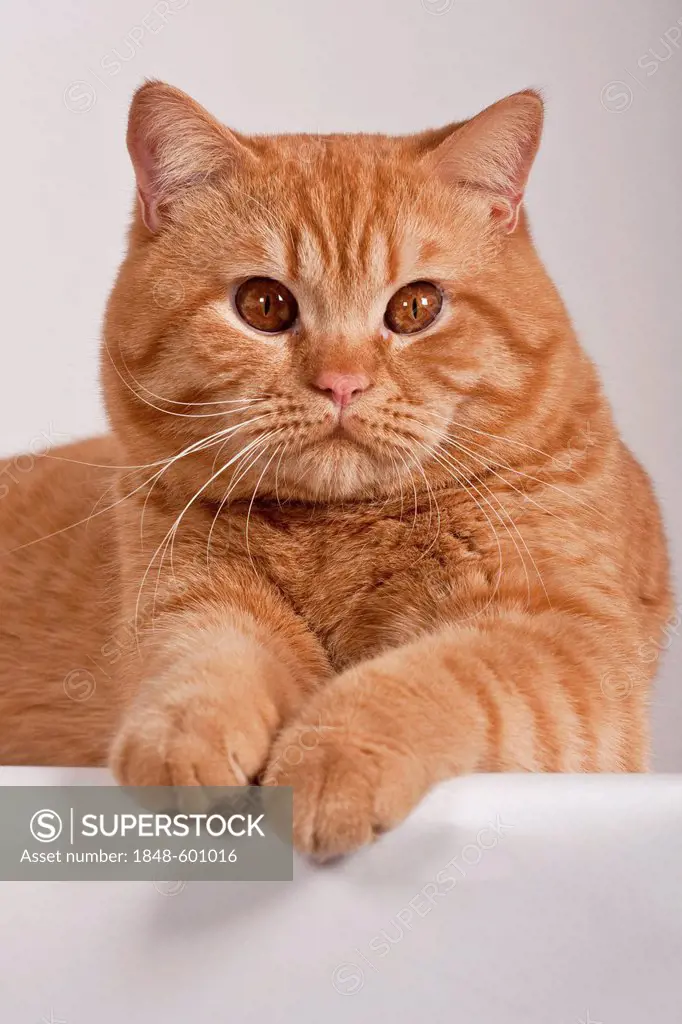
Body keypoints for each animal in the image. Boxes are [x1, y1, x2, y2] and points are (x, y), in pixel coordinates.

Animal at [0, 86, 667, 856]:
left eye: (415, 307)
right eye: (264, 304)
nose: (342, 382)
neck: (341, 527)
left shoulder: (565, 642)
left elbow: (429, 674)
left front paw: (331, 757)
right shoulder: (186, 600)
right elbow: (203, 660)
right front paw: (183, 738)